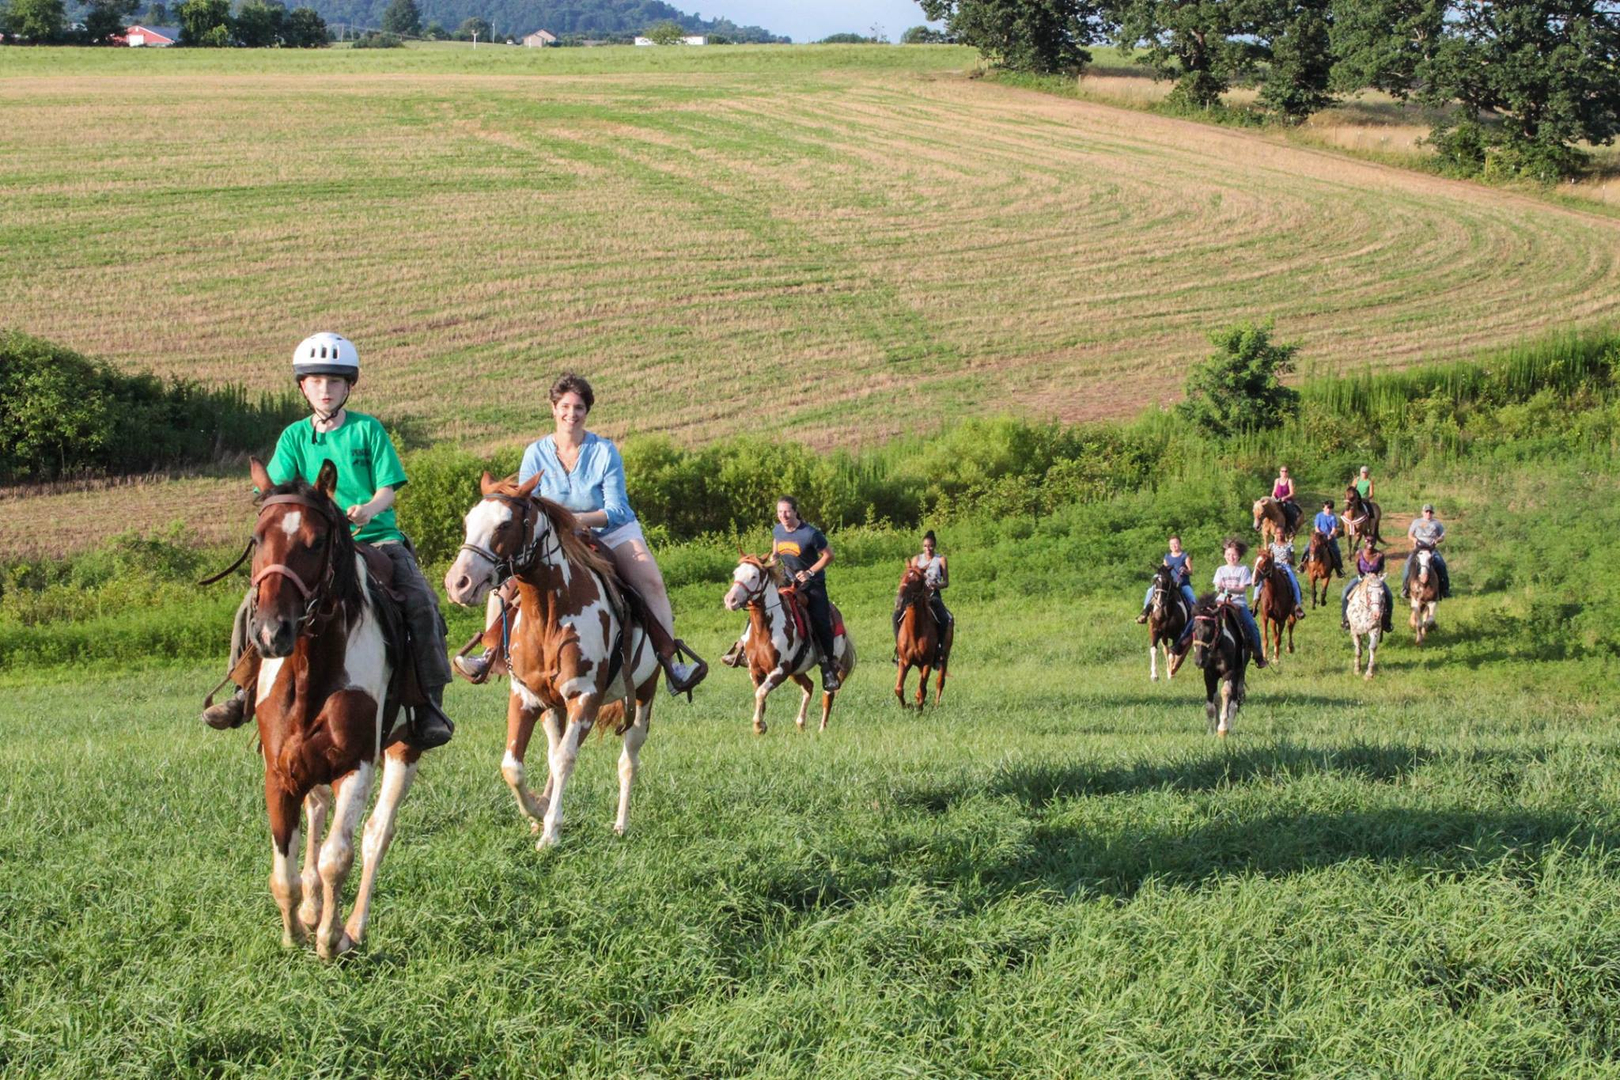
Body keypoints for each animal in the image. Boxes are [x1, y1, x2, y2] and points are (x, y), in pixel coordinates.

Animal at [244, 456, 424, 965]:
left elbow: (336, 857)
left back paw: (355, 927)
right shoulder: (279, 773)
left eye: (316, 542)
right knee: (317, 813)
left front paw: (330, 939)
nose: (271, 632)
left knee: (376, 836)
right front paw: (296, 932)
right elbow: (283, 872)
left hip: (404, 749)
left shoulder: (356, 767)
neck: (313, 674)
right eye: (257, 539)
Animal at [440, 476, 660, 848]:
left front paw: (550, 833)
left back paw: (620, 824)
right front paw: (539, 811)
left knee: (628, 760)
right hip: (552, 708)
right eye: (469, 522)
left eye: (504, 524)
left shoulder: (585, 698)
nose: (458, 583)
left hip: (643, 696)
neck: (548, 617)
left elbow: (565, 759)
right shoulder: (526, 697)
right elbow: (513, 766)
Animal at [729, 557, 861, 735]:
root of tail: (836, 613)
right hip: (796, 671)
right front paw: (761, 724)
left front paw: (759, 725)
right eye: (735, 573)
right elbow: (759, 694)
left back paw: (822, 729)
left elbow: (761, 693)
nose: (730, 600)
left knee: (828, 693)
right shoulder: (755, 670)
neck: (763, 630)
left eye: (754, 576)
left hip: (831, 664)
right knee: (809, 686)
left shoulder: (780, 671)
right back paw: (800, 723)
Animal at [900, 566, 946, 709]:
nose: (900, 599)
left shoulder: (927, 662)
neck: (915, 631)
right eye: (902, 576)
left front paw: (918, 709)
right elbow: (898, 688)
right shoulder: (904, 661)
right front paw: (907, 706)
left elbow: (922, 690)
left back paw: (936, 705)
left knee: (940, 681)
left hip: (944, 657)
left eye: (916, 580)